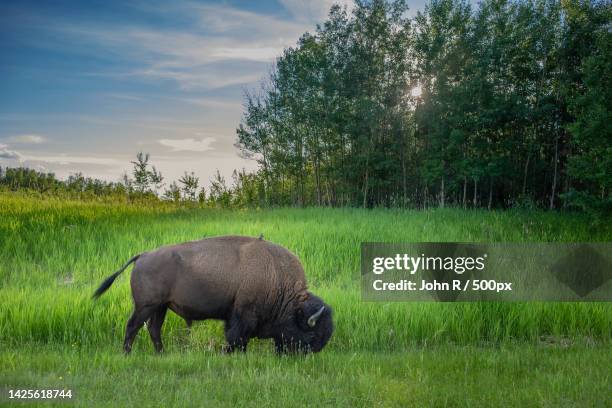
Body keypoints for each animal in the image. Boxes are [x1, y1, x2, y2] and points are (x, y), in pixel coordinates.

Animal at [92, 236, 334, 354]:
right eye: (312, 336)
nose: (309, 354)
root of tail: (142, 256)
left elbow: (238, 337)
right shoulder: (243, 316)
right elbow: (236, 337)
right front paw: (228, 353)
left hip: (160, 307)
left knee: (153, 328)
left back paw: (161, 353)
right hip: (146, 306)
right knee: (133, 326)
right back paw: (127, 354)